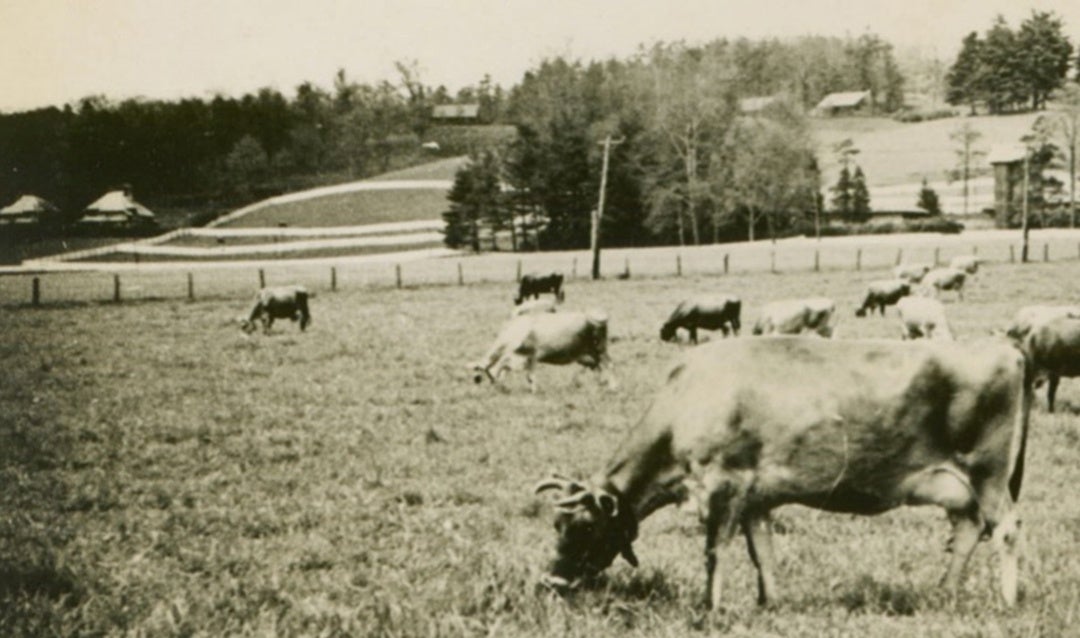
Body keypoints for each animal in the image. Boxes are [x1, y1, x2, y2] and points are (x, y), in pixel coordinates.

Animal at [468, 308, 613, 388]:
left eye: (489, 378)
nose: (496, 389)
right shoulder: (520, 358)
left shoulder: (531, 355)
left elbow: (529, 376)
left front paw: (534, 391)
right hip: (586, 354)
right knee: (597, 367)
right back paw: (598, 384)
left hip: (599, 348)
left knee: (607, 364)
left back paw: (612, 386)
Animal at [537, 334, 1028, 608]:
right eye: (555, 523)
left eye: (583, 527)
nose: (550, 582)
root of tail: (1005, 346)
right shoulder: (756, 497)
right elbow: (763, 553)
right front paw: (768, 602)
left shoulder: (725, 483)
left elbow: (714, 551)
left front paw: (709, 609)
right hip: (959, 487)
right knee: (968, 530)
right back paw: (943, 591)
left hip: (988, 473)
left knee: (1005, 529)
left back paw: (1005, 601)